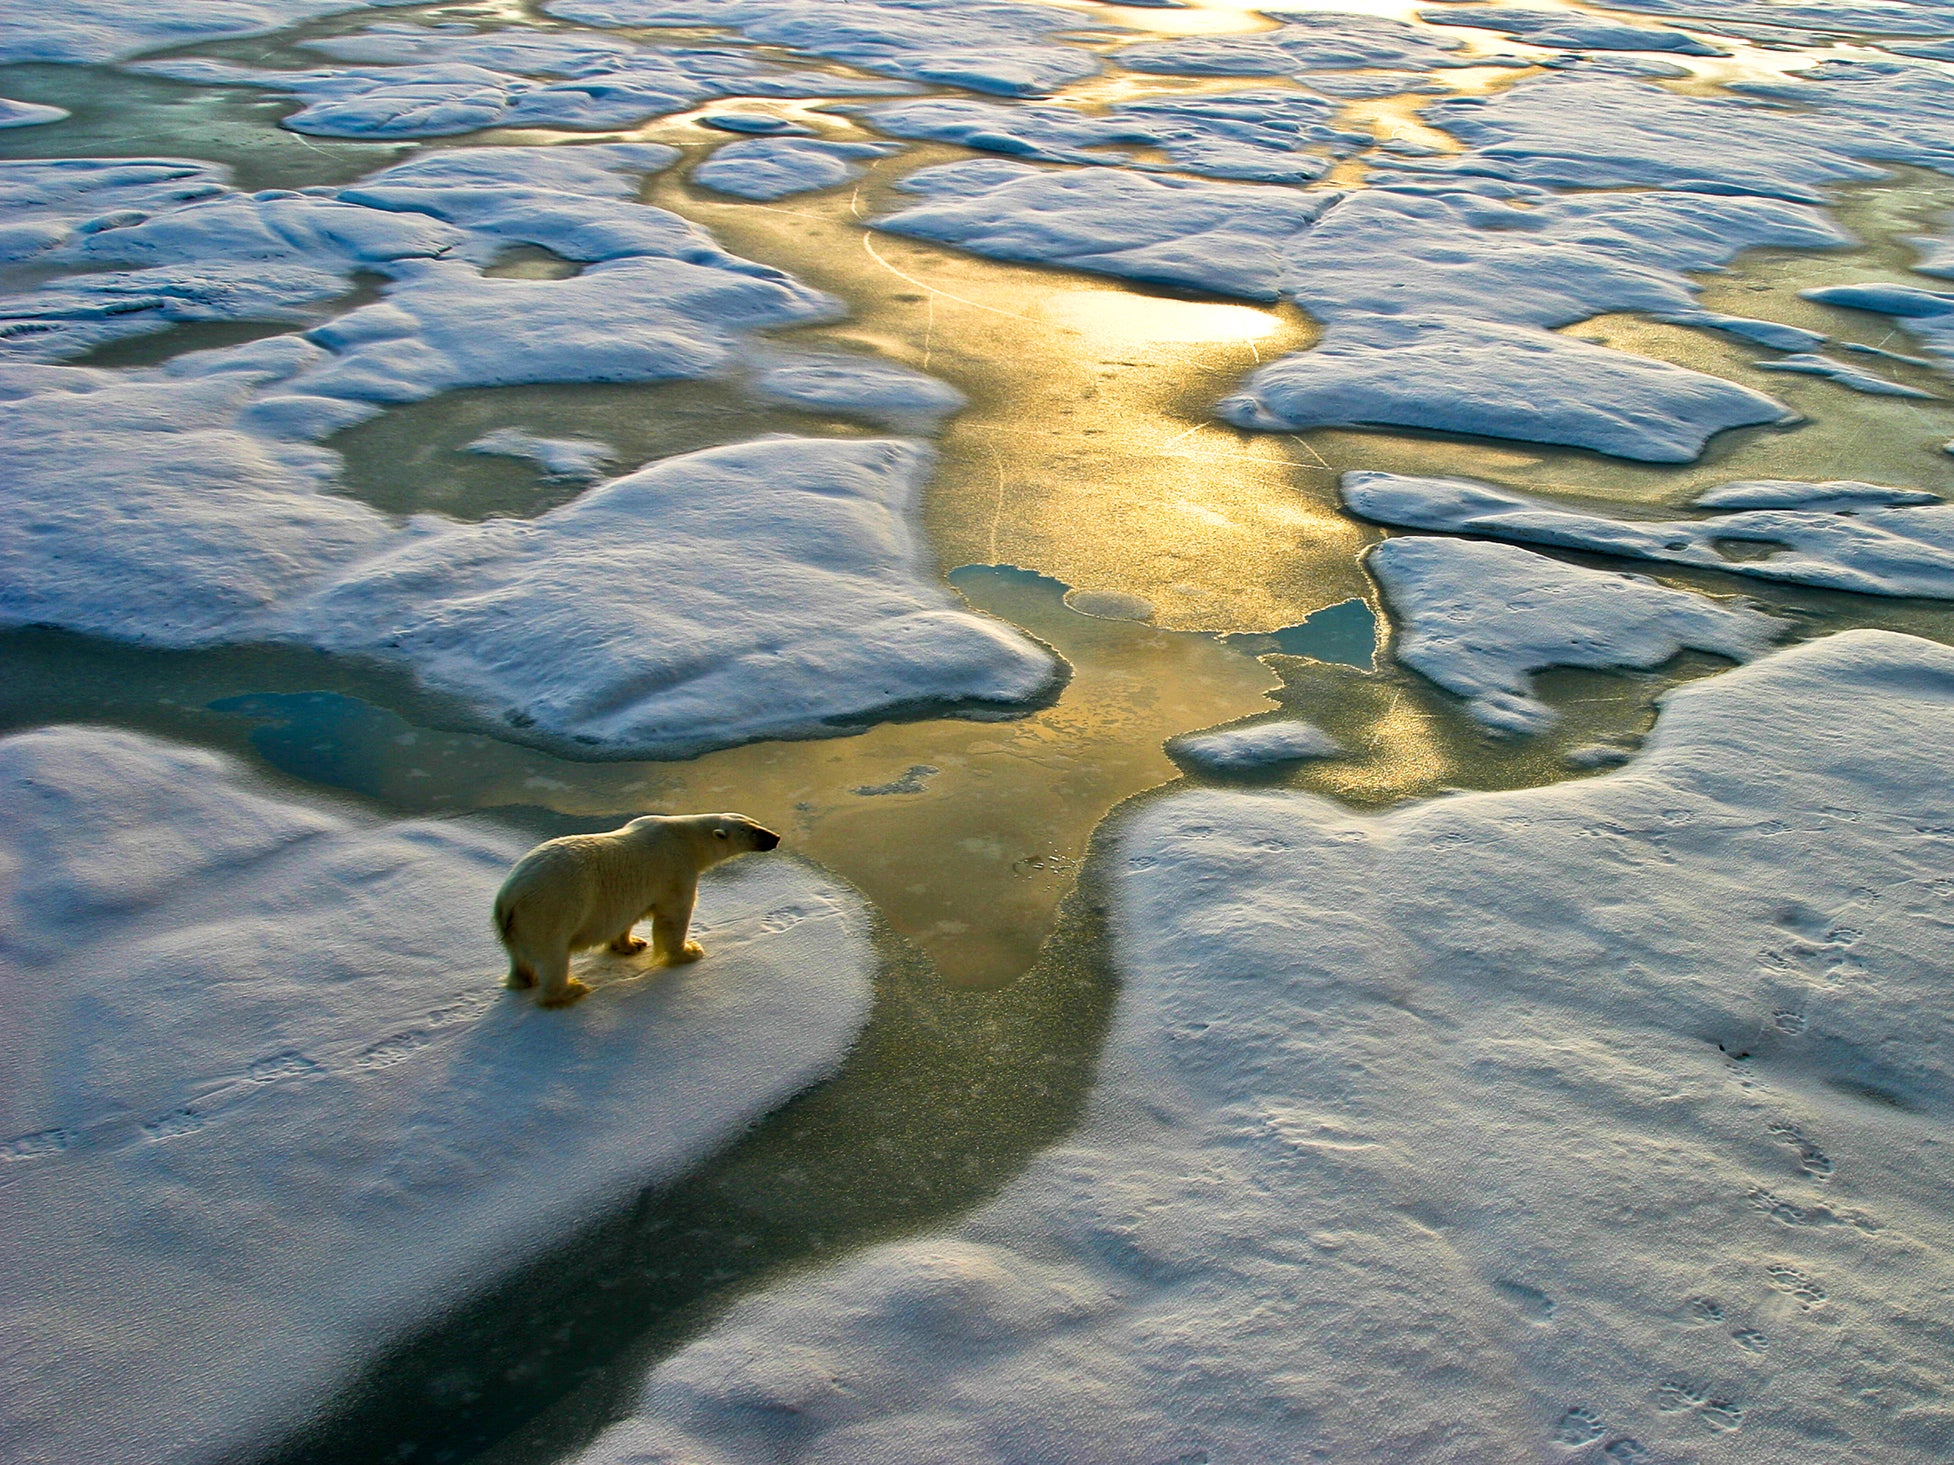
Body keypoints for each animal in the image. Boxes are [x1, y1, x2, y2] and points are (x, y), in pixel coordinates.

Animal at [492, 816, 781, 1007]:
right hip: (549, 910)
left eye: (755, 822)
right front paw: (689, 951)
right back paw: (571, 990)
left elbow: (627, 918)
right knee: (553, 956)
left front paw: (631, 945)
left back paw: (524, 980)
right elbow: (674, 916)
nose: (776, 837)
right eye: (753, 831)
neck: (685, 837)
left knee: (520, 958)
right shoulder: (675, 869)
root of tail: (507, 898)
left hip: (517, 927)